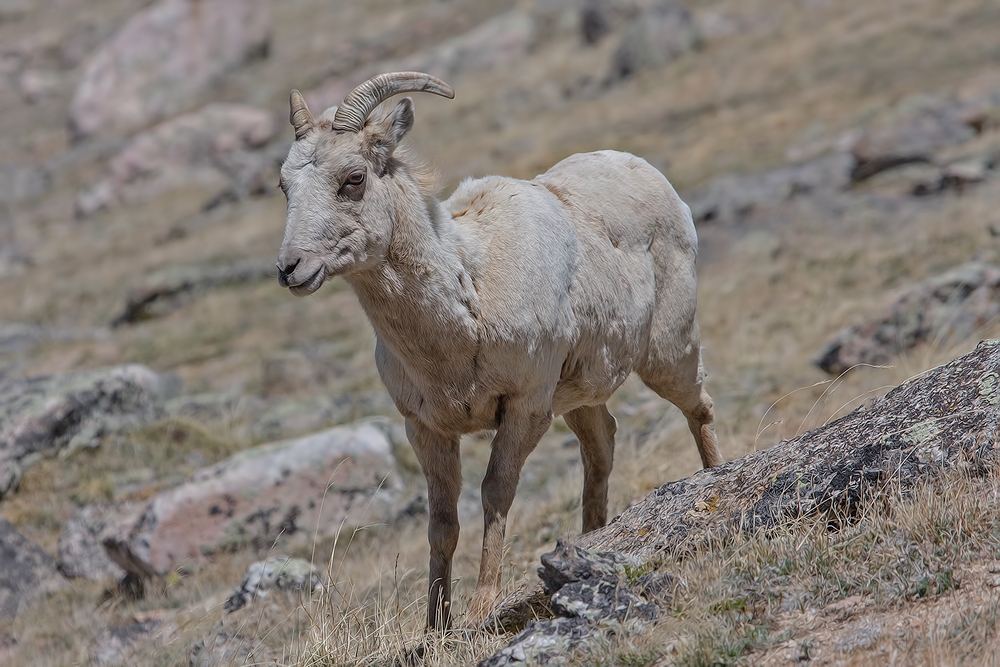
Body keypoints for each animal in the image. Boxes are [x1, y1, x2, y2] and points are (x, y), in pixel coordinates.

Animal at [278, 73, 724, 632]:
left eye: (353, 178)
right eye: (284, 185)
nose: (290, 268)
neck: (467, 298)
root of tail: (646, 171)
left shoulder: (524, 408)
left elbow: (495, 494)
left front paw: (481, 609)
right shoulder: (426, 429)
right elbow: (442, 522)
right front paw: (435, 628)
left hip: (668, 351)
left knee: (698, 407)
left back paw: (714, 483)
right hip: (579, 396)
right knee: (602, 445)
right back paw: (590, 543)